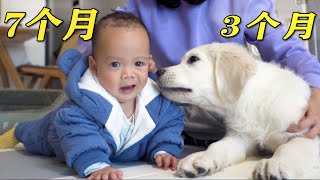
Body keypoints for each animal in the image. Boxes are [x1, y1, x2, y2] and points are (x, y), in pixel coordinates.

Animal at [156, 42, 318, 180]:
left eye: (193, 59)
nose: (158, 71)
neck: (254, 101)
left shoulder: (307, 134)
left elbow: (288, 147)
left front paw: (275, 163)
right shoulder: (240, 138)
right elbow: (217, 145)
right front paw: (200, 157)